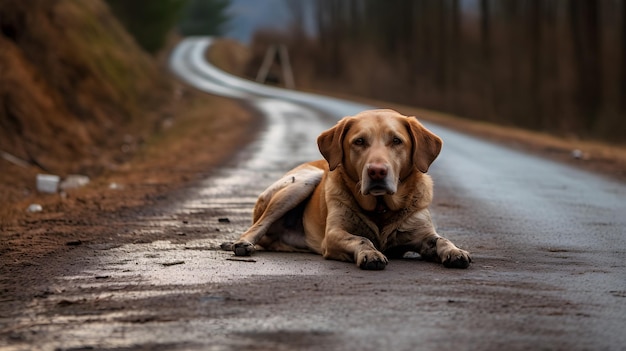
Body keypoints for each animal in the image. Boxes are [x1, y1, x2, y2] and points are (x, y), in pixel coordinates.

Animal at [222, 108, 470, 270]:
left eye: (397, 141)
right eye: (359, 141)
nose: (377, 171)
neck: (381, 209)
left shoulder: (423, 233)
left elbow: (441, 240)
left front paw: (455, 251)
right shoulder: (333, 235)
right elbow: (361, 239)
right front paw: (371, 253)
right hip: (303, 181)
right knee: (258, 225)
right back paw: (242, 243)